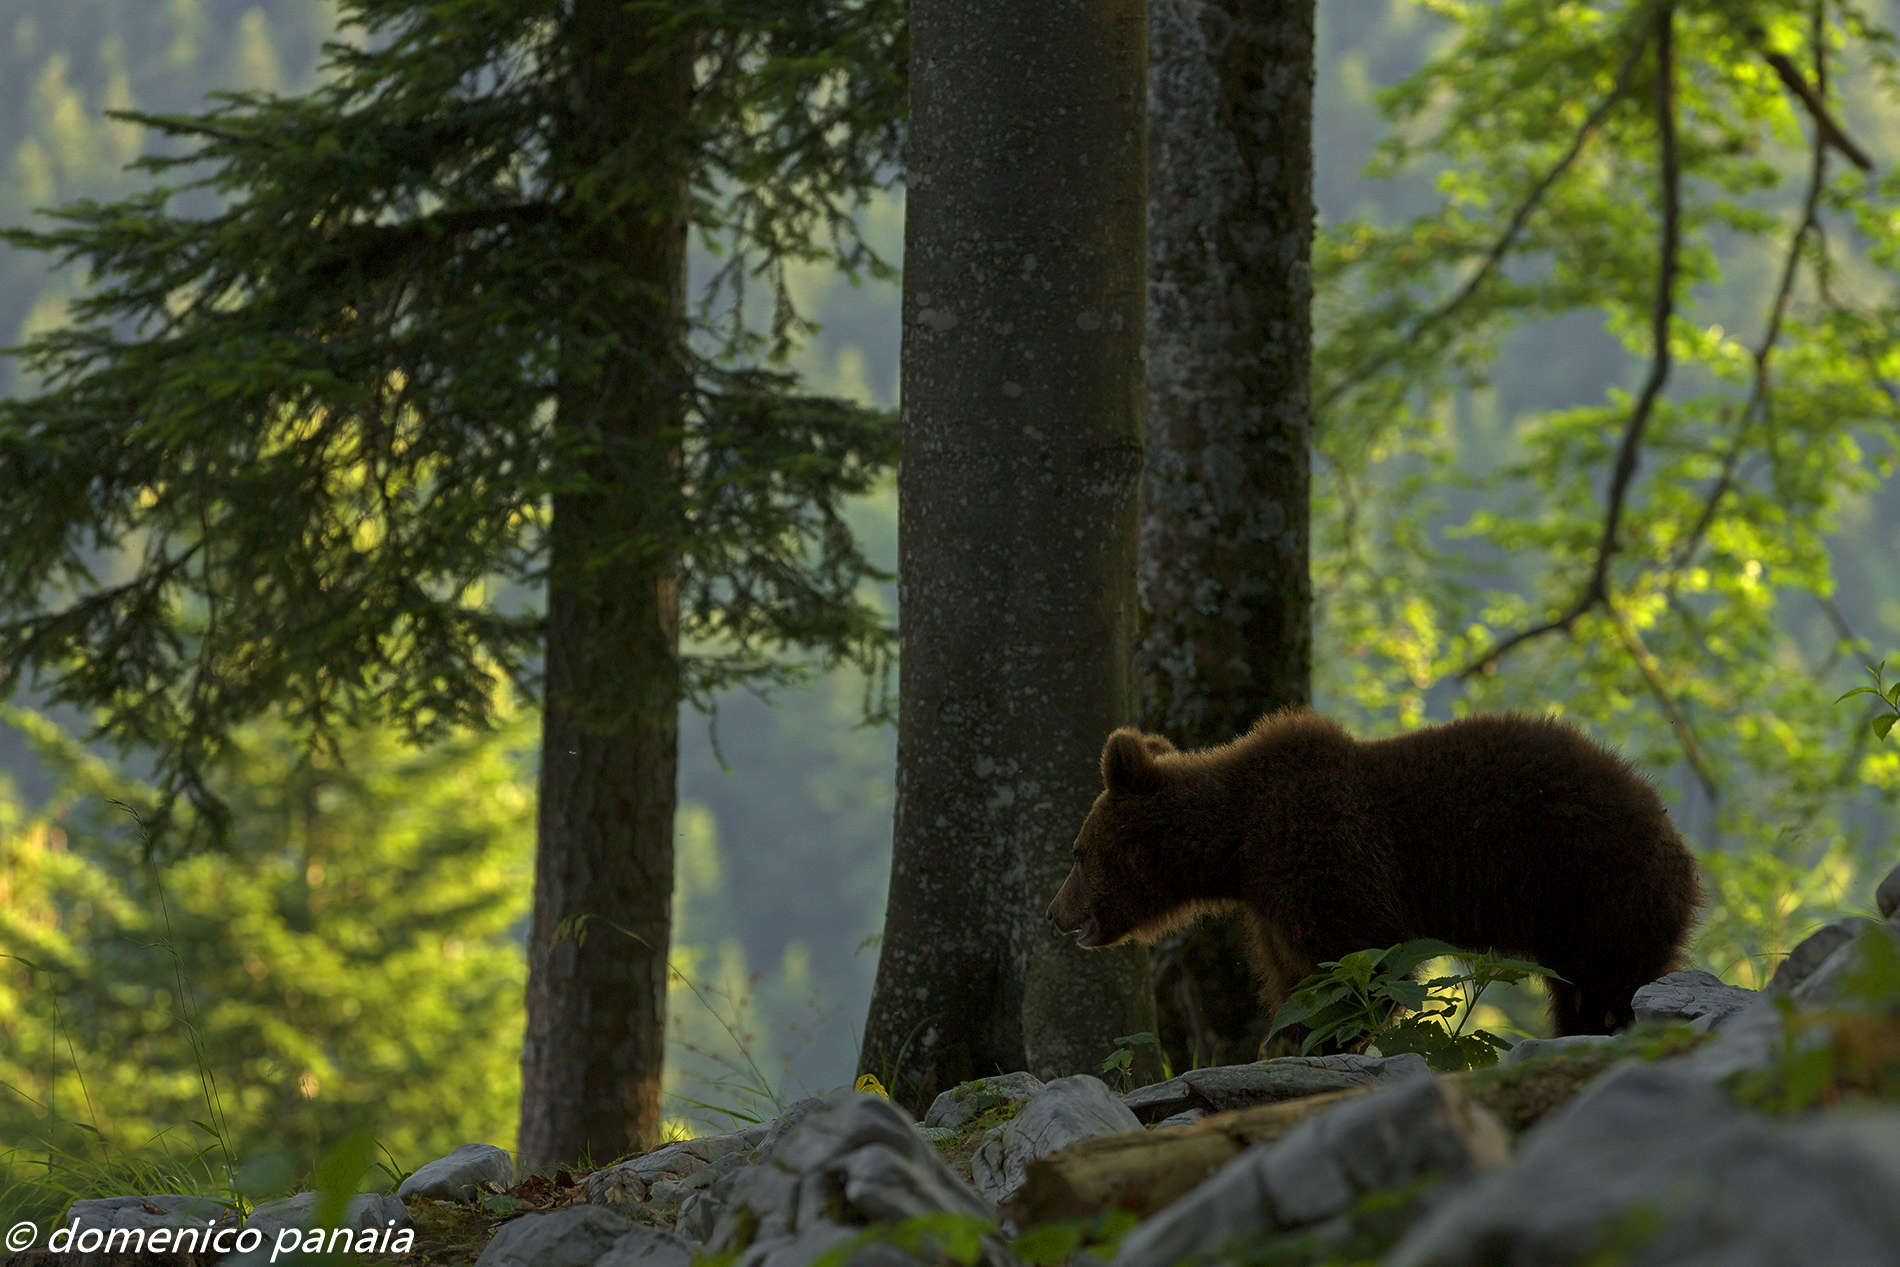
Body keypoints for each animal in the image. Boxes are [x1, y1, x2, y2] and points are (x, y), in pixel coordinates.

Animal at [1046, 710, 1703, 1037]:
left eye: (1076, 852)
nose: (1055, 913)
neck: (1236, 845)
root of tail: (1670, 827)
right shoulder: (1270, 904)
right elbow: (1298, 980)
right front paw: (1284, 1036)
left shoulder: (1323, 851)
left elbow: (1360, 959)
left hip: (1594, 883)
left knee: (1610, 982)